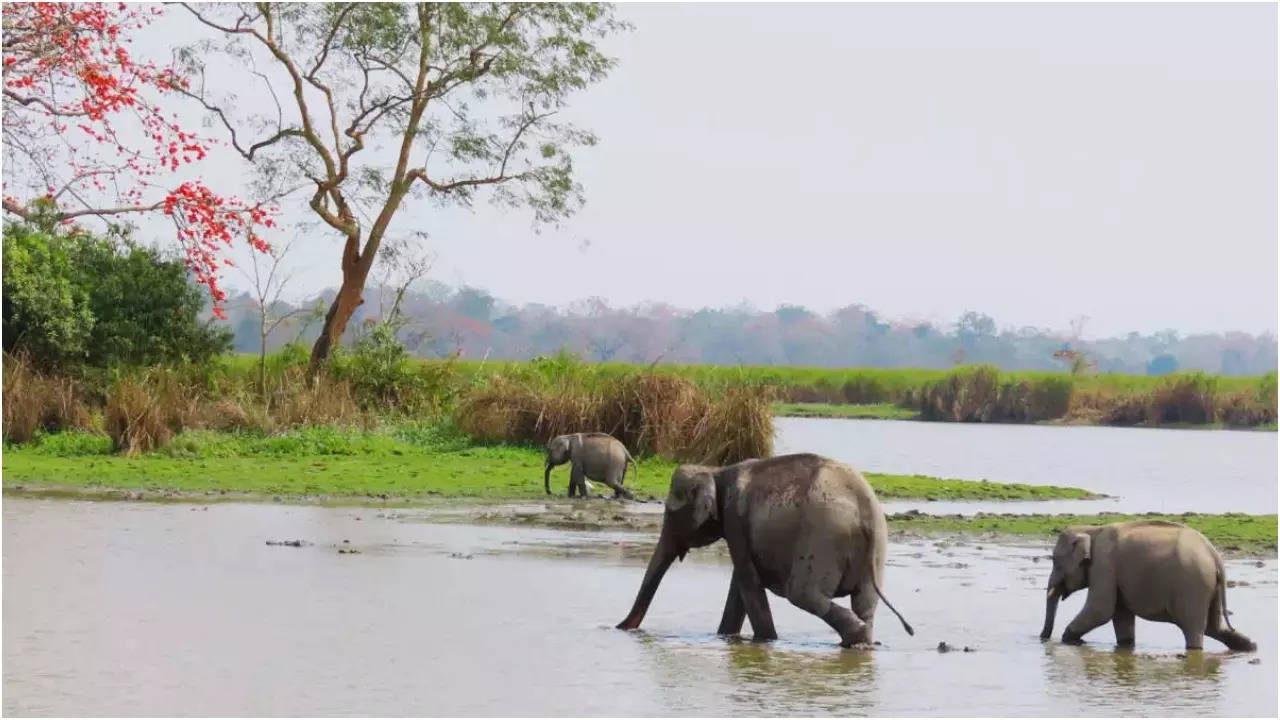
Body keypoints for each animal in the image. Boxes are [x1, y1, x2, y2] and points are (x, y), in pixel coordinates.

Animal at [616, 453, 911, 645]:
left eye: (669, 513)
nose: (619, 628)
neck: (716, 471)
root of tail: (865, 510)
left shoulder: (735, 518)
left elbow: (748, 582)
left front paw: (765, 641)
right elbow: (739, 586)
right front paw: (726, 638)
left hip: (823, 537)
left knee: (802, 594)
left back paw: (856, 636)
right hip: (875, 548)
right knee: (866, 602)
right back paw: (862, 642)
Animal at [1034, 517, 1254, 648]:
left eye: (1055, 562)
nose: (1043, 639)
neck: (1092, 529)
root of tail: (1215, 555)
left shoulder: (1104, 565)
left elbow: (1100, 610)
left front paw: (1068, 638)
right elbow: (1120, 616)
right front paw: (1125, 646)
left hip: (1194, 587)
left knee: (1195, 630)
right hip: (1209, 587)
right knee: (1214, 628)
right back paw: (1250, 646)